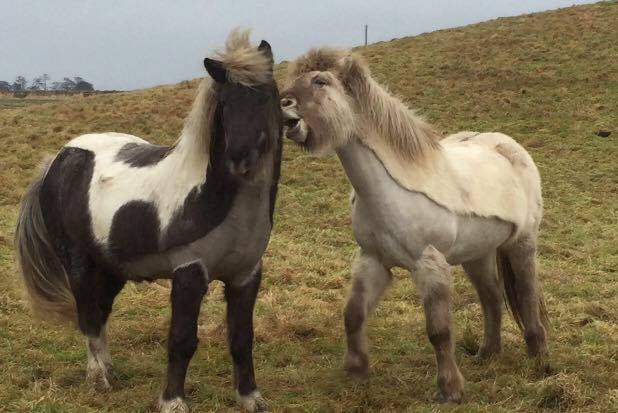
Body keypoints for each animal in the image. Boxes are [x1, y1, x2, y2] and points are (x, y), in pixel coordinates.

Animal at [16, 29, 282, 412]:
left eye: (264, 96)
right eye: (225, 103)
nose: (240, 159)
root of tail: (60, 158)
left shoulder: (246, 276)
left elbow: (242, 338)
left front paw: (250, 398)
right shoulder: (189, 273)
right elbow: (182, 340)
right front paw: (173, 401)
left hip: (112, 268)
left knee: (100, 312)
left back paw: (109, 370)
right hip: (78, 262)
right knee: (88, 315)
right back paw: (98, 378)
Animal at [280, 49, 548, 402]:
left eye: (320, 81)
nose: (283, 104)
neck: (390, 192)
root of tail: (511, 147)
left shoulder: (429, 265)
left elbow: (439, 331)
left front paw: (449, 389)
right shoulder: (373, 261)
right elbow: (353, 314)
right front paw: (356, 371)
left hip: (521, 244)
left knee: (527, 293)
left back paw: (539, 358)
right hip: (477, 254)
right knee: (492, 297)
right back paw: (487, 354)